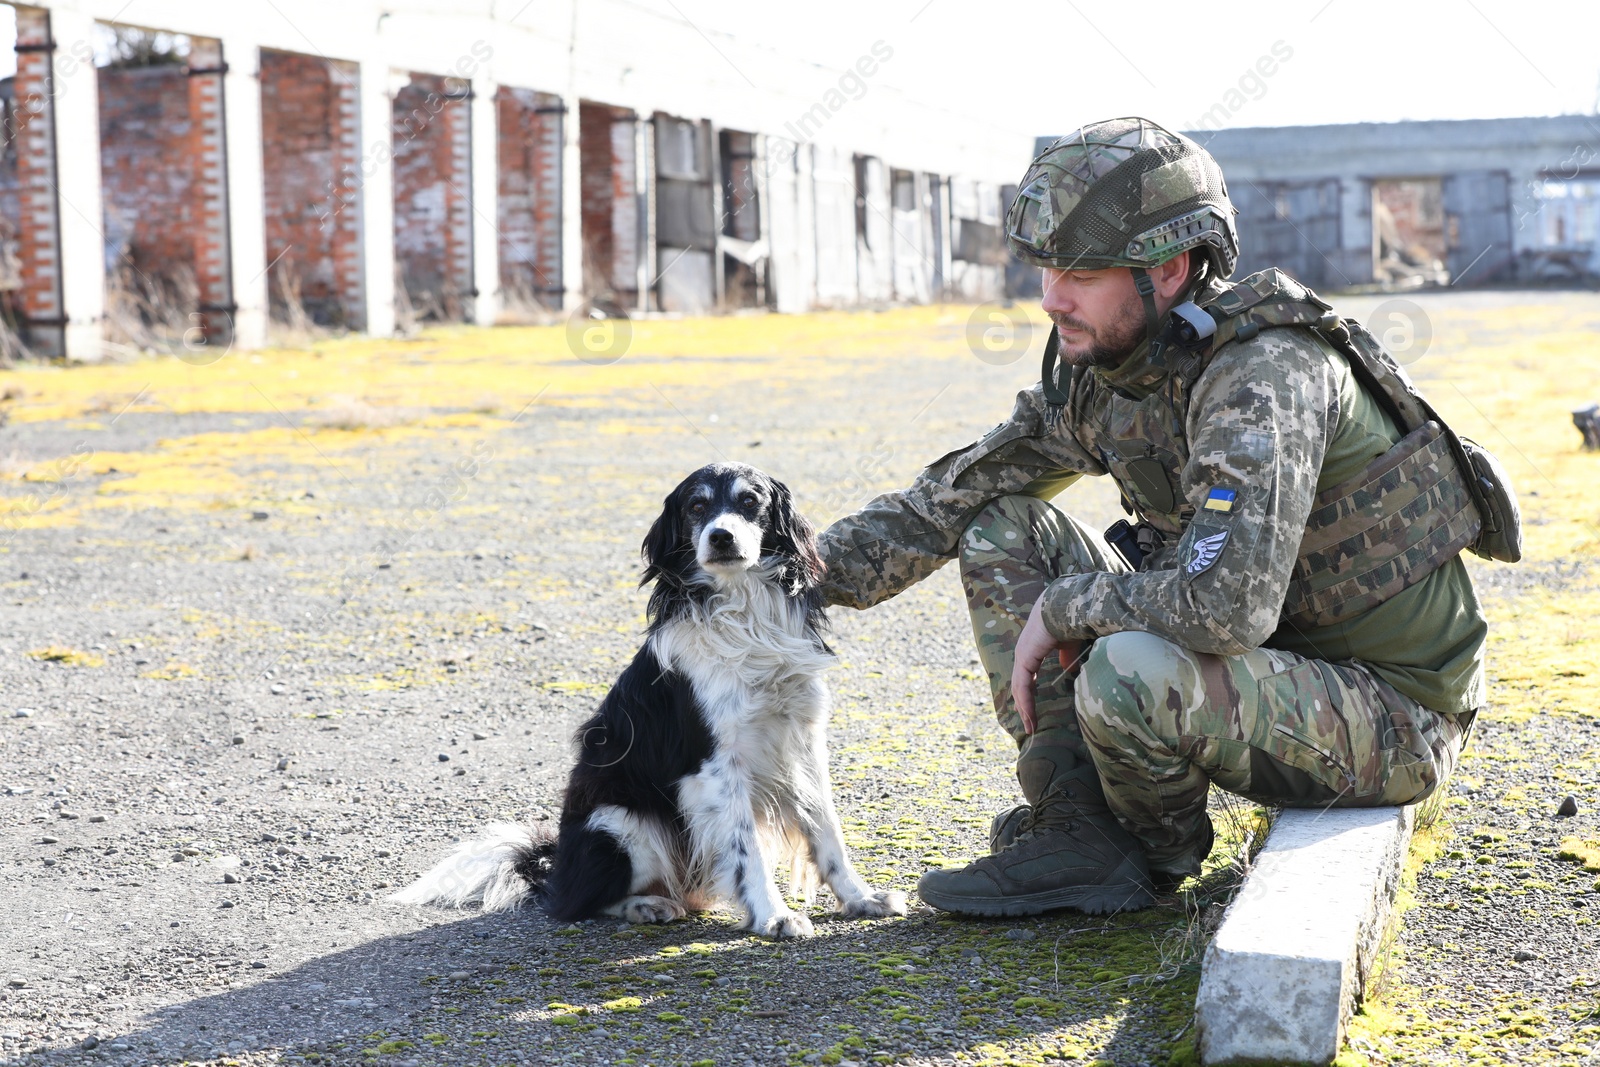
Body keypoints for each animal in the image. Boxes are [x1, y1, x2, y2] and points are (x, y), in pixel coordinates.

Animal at [393, 463, 908, 940]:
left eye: (750, 501)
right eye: (696, 507)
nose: (721, 537)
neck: (743, 610)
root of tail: (554, 867)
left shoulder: (802, 742)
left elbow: (827, 831)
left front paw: (860, 898)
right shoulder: (715, 764)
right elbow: (748, 851)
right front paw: (774, 915)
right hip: (621, 824)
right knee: (578, 903)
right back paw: (645, 905)